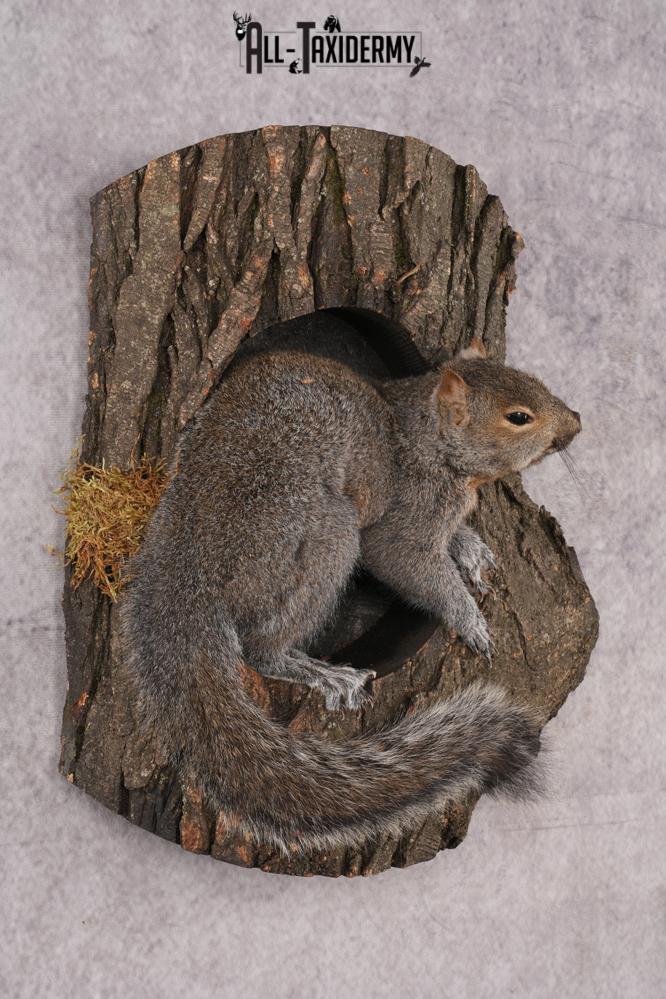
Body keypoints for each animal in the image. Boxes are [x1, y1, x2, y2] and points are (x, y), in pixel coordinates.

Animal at [119, 334, 581, 854]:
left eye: (534, 380)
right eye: (518, 416)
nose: (576, 423)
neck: (425, 435)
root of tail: (189, 551)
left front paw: (468, 546)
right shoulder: (404, 515)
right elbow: (407, 562)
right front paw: (470, 619)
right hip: (324, 539)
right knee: (260, 650)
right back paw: (321, 673)